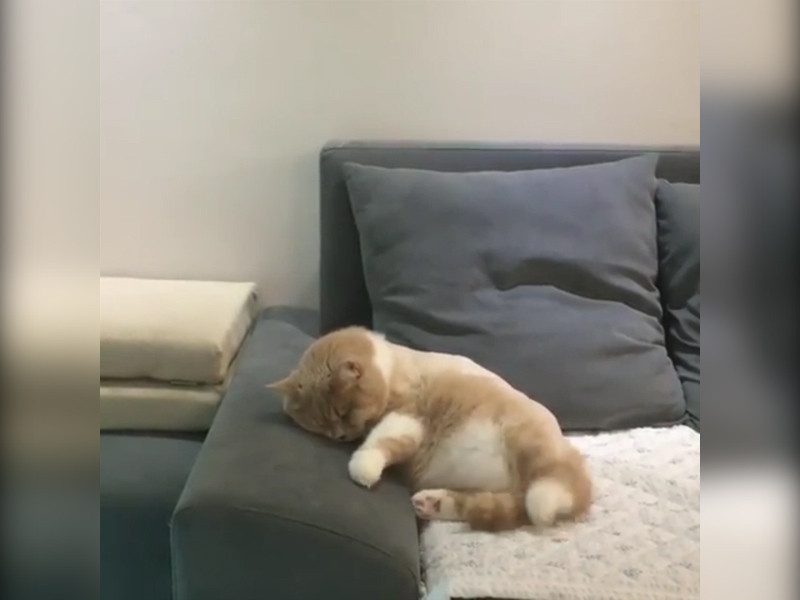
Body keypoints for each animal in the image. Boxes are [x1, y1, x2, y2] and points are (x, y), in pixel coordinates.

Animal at [268, 326, 592, 531]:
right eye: (322, 426)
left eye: (342, 413)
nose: (339, 437)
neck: (394, 364)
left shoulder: (408, 416)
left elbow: (381, 440)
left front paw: (363, 468)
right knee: (506, 507)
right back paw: (434, 503)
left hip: (530, 442)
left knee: (558, 489)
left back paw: (549, 497)